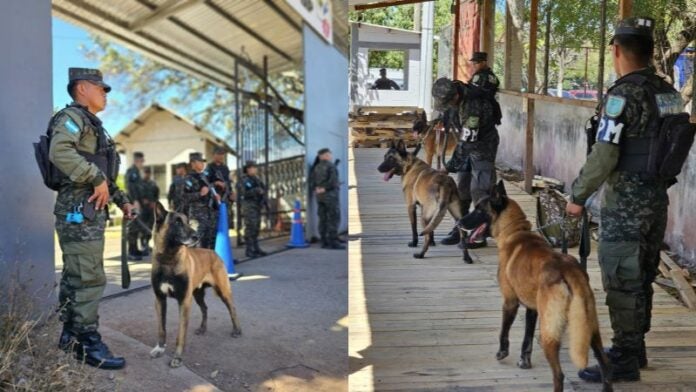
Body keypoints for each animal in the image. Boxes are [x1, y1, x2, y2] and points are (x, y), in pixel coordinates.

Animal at [150, 202, 242, 368]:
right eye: (177, 222)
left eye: (188, 222)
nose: (196, 236)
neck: (168, 260)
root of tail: (213, 252)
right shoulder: (160, 300)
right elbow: (161, 329)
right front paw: (160, 348)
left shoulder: (184, 302)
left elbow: (181, 334)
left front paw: (177, 357)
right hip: (197, 294)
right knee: (205, 308)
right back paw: (202, 328)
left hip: (223, 291)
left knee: (232, 308)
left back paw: (237, 330)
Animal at [460, 181, 612, 392]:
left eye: (479, 210)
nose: (459, 223)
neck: (515, 231)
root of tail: (569, 270)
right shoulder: (532, 309)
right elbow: (527, 338)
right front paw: (524, 361)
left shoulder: (510, 302)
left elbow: (504, 331)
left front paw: (502, 352)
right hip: (590, 328)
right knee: (605, 364)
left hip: (549, 331)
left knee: (559, 375)